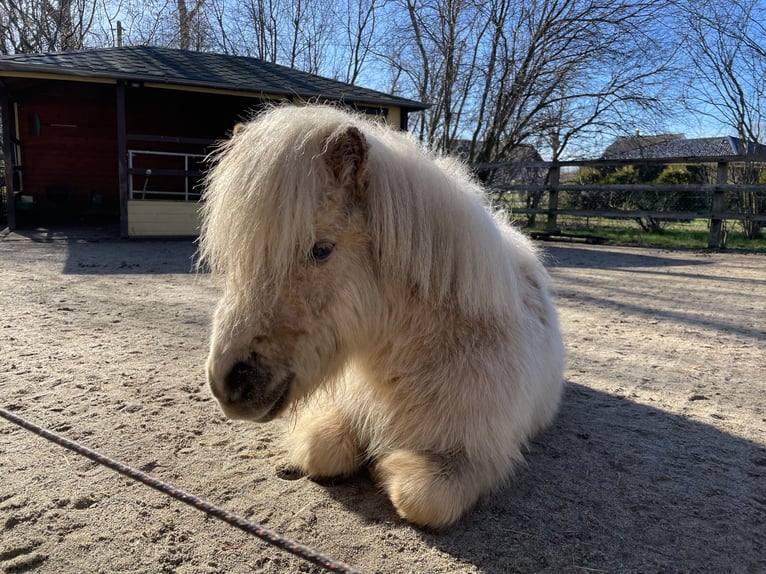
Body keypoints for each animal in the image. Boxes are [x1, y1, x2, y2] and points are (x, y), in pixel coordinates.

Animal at [201, 104, 568, 532]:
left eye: (321, 249)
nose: (227, 382)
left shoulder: (477, 454)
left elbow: (423, 499)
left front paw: (385, 469)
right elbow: (322, 450)